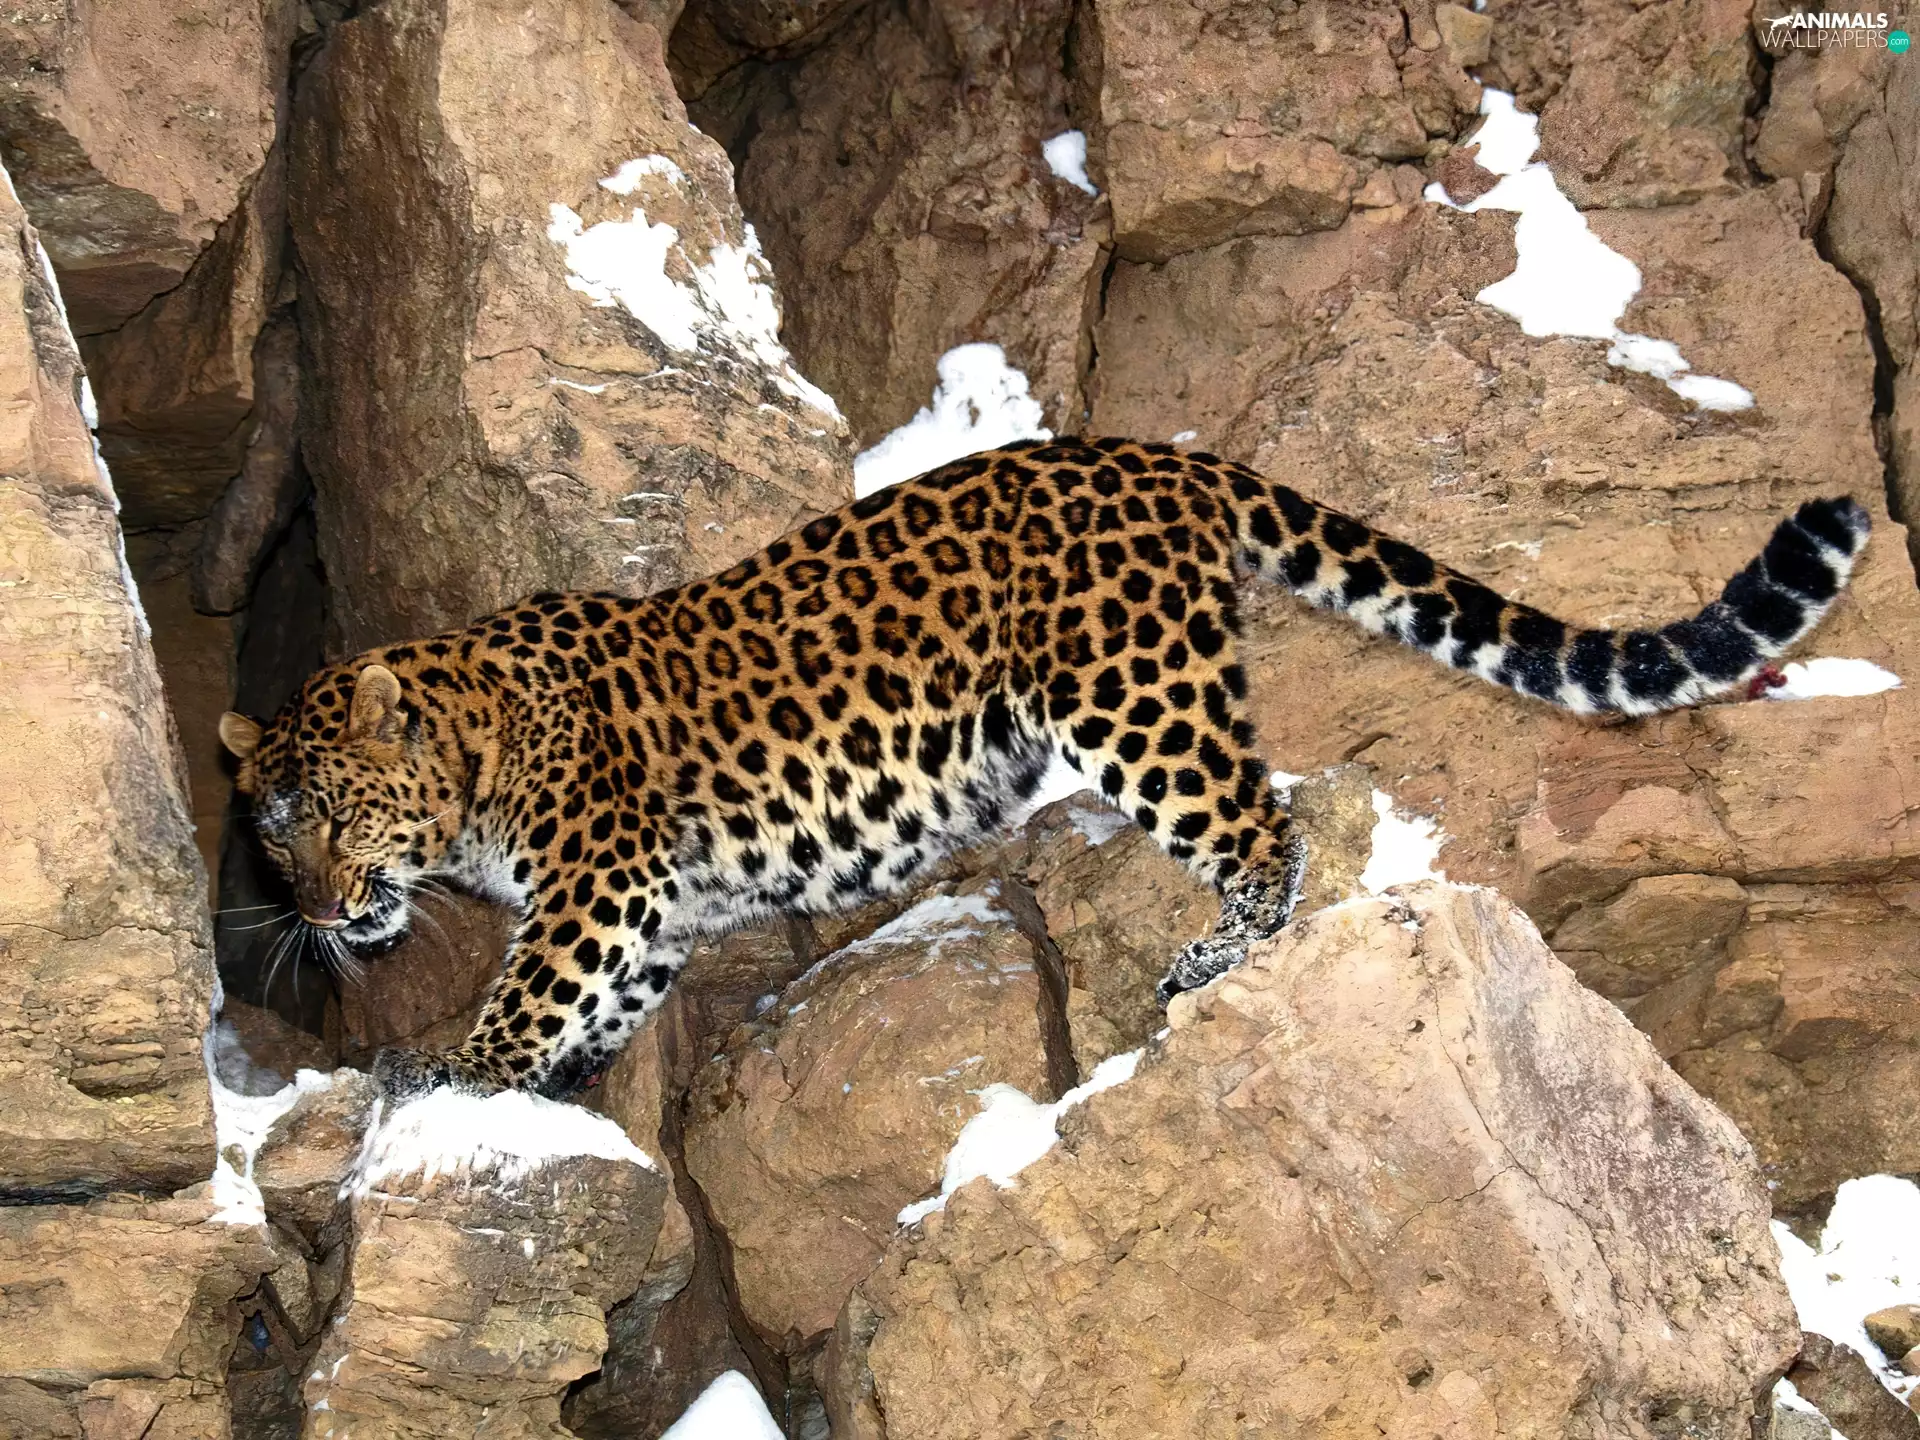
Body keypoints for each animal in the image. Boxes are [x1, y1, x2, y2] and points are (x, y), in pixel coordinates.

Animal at [218, 437, 1871, 1101]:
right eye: (273, 840)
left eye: (337, 815)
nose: (319, 913)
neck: (476, 748)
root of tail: (1161, 455)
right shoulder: (658, 910)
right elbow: (598, 1006)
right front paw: (545, 1095)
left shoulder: (603, 876)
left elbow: (528, 993)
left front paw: (452, 1079)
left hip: (1130, 695)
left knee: (1265, 823)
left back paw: (1217, 958)